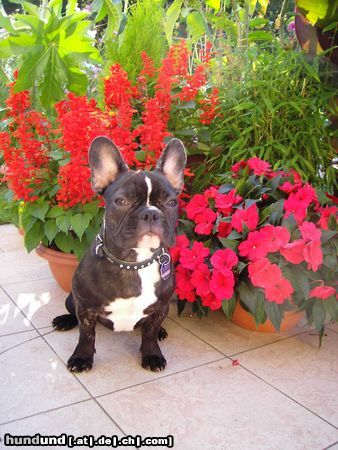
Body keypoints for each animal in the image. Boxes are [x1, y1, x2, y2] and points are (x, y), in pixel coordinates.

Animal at [51, 136, 186, 372]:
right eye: (121, 201)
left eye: (171, 202)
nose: (151, 213)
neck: (133, 263)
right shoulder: (85, 307)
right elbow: (86, 335)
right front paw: (81, 358)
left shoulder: (161, 308)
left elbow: (149, 333)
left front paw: (152, 354)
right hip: (71, 298)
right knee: (72, 313)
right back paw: (64, 320)